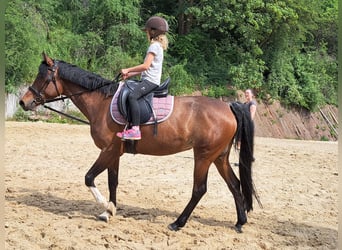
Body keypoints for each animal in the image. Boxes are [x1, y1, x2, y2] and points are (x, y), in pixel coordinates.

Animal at [19, 52, 260, 232]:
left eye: (43, 78)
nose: (23, 102)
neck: (101, 103)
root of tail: (228, 106)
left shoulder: (108, 150)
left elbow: (88, 177)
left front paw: (104, 205)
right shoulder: (114, 153)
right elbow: (112, 182)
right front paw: (109, 211)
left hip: (203, 156)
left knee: (199, 189)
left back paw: (178, 223)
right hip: (219, 156)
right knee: (234, 184)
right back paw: (240, 222)